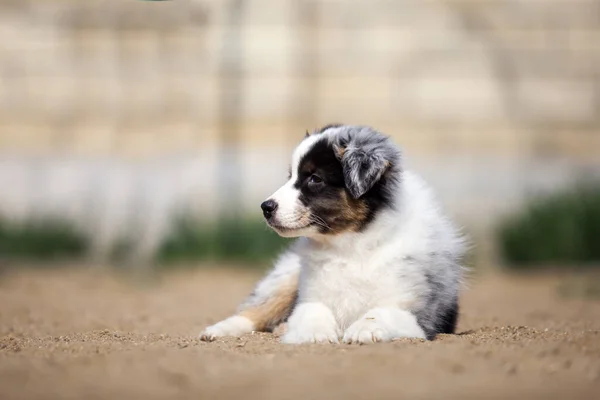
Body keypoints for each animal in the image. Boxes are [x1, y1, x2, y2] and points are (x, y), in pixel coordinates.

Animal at [199, 124, 466, 344]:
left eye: (315, 178)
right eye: (291, 176)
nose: (265, 207)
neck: (351, 244)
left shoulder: (415, 311)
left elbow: (381, 312)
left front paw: (363, 331)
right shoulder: (309, 295)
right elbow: (314, 310)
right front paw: (315, 335)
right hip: (286, 278)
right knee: (255, 309)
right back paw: (216, 331)